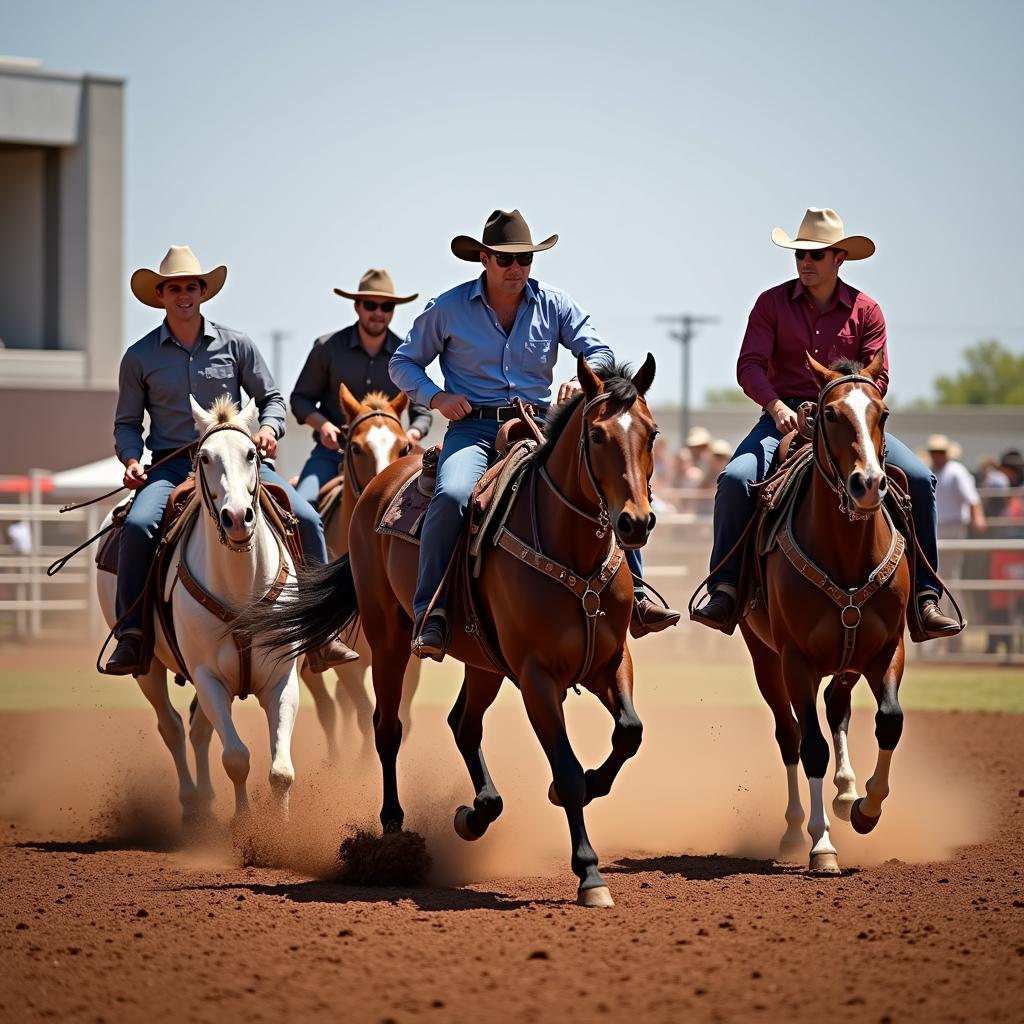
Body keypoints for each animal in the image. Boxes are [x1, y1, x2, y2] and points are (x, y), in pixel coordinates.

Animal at [96, 397, 301, 823]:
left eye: (252, 453)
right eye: (204, 457)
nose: (237, 517)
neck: (241, 586)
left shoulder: (282, 678)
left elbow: (281, 771)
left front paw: (281, 829)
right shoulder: (208, 678)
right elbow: (236, 757)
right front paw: (244, 824)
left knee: (197, 730)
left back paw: (205, 801)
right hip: (148, 669)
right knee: (172, 727)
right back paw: (192, 803)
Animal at [299, 385, 423, 761]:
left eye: (405, 446)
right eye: (355, 447)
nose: (385, 485)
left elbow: (401, 714)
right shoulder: (350, 663)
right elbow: (365, 714)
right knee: (325, 703)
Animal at [737, 354, 913, 872]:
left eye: (883, 412)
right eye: (831, 415)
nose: (868, 485)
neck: (846, 553)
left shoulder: (887, 648)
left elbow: (889, 721)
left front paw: (866, 809)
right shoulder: (795, 661)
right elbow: (810, 745)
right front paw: (821, 845)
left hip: (848, 660)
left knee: (838, 708)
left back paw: (846, 791)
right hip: (766, 660)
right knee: (790, 735)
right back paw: (795, 830)